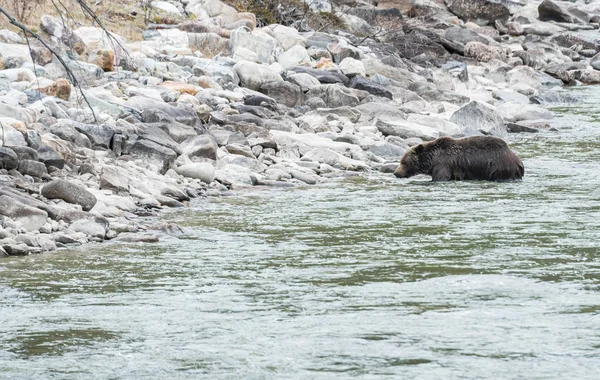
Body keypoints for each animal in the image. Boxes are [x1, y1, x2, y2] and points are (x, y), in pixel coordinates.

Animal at [392, 136, 524, 182]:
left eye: (403, 162)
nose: (396, 173)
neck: (432, 159)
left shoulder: (443, 164)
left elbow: (441, 177)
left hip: (499, 167)